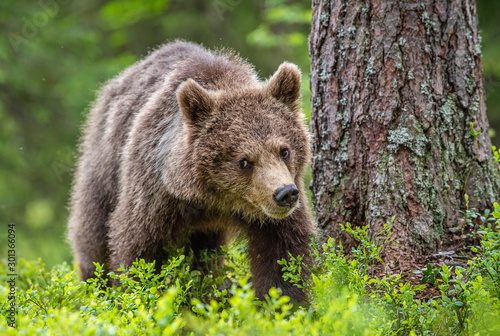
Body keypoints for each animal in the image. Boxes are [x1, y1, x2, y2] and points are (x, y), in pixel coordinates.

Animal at [68, 40, 314, 302]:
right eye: (244, 161)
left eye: (284, 150)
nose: (285, 194)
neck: (215, 200)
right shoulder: (155, 192)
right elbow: (137, 248)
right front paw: (135, 293)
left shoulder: (274, 211)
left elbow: (283, 253)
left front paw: (282, 301)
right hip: (103, 166)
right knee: (92, 235)